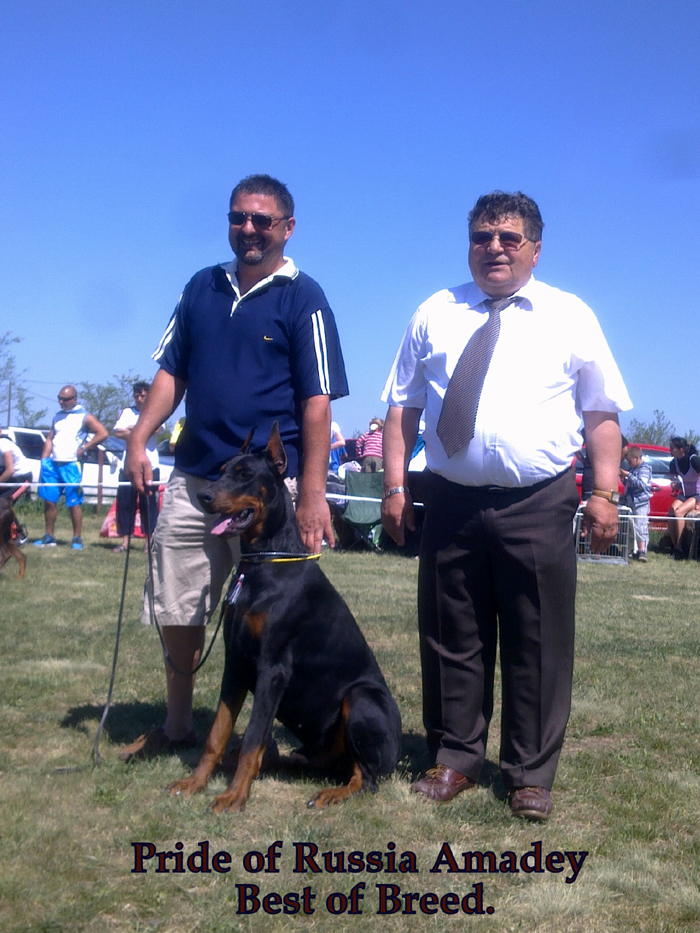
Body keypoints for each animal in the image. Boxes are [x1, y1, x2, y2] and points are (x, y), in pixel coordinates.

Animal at [168, 422, 401, 811]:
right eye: (222, 470)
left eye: (245, 475)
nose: (204, 496)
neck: (264, 562)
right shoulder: (236, 663)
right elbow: (218, 733)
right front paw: (195, 783)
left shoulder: (273, 669)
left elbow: (252, 739)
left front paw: (233, 796)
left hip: (361, 698)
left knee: (365, 777)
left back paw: (331, 793)